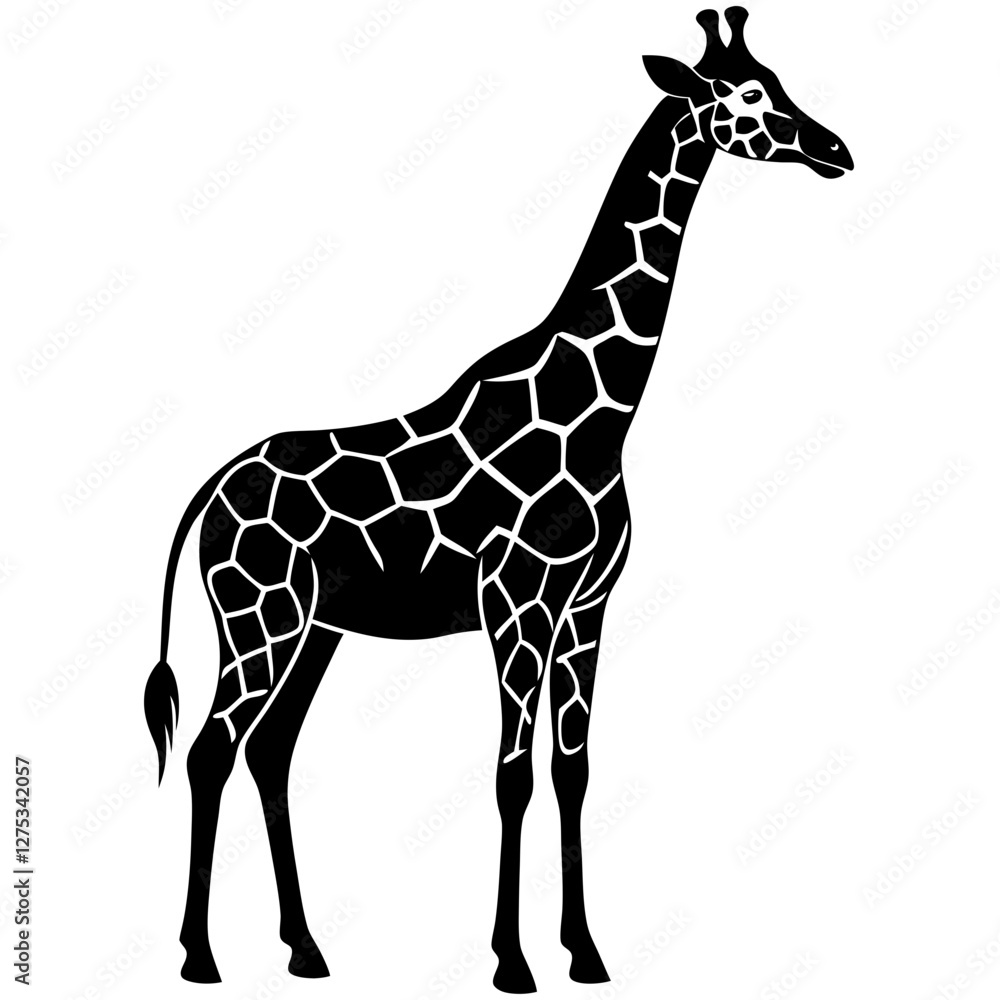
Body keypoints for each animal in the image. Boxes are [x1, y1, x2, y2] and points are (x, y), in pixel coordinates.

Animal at [143, 7, 852, 992]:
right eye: (748, 95)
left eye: (780, 81)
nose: (836, 150)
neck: (599, 412)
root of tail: (209, 491)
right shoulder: (516, 600)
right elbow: (511, 774)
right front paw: (512, 960)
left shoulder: (587, 606)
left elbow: (572, 769)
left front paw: (585, 952)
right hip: (260, 617)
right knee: (214, 748)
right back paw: (201, 956)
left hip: (316, 627)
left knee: (271, 750)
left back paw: (306, 949)